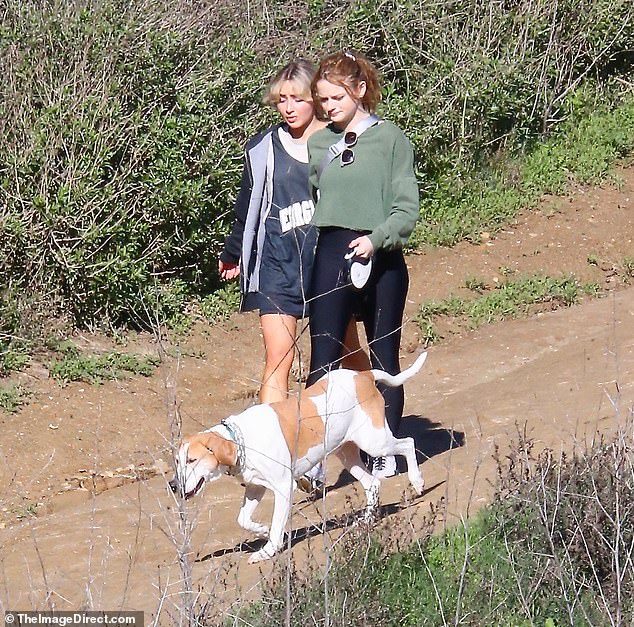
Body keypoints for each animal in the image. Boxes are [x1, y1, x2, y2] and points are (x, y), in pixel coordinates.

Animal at [168, 350, 428, 560]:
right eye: (177, 461)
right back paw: (366, 520)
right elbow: (242, 519)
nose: (173, 485)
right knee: (372, 483)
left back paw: (417, 481)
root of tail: (363, 376)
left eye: (192, 460)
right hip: (347, 454)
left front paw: (267, 551)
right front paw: (261, 530)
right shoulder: (255, 487)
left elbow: (276, 526)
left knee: (408, 443)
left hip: (375, 443)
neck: (242, 439)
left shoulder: (283, 488)